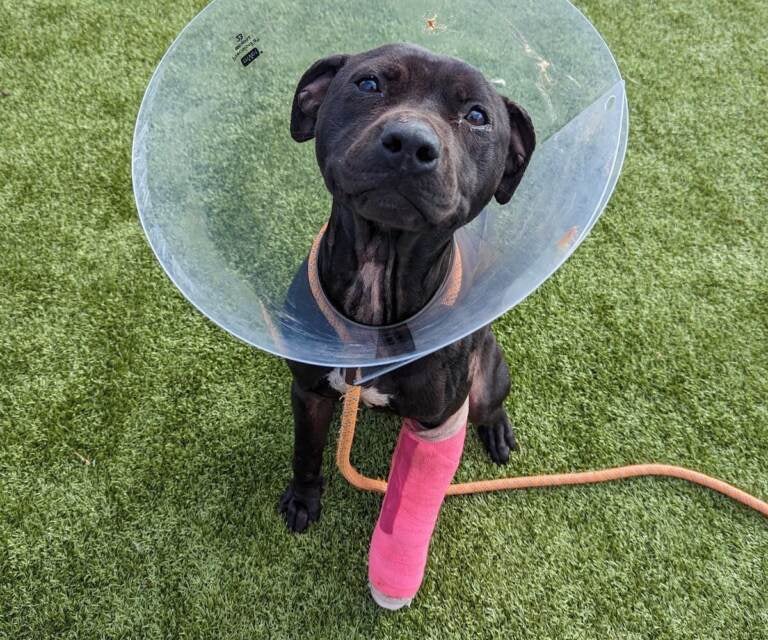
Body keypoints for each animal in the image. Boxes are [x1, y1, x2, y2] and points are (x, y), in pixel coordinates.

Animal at [276, 43, 536, 536]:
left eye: (477, 115)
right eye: (369, 83)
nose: (412, 143)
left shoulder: (436, 420)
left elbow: (412, 486)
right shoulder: (309, 392)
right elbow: (305, 451)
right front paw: (303, 498)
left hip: (486, 381)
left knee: (490, 406)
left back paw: (497, 431)